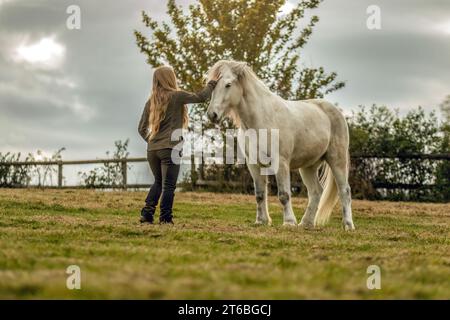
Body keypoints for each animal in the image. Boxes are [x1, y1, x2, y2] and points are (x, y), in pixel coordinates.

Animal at [207, 60, 356, 230]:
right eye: (213, 85)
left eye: (228, 84)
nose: (212, 115)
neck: (261, 119)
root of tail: (335, 111)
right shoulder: (254, 165)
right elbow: (259, 194)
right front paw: (261, 221)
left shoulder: (281, 162)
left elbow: (284, 194)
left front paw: (289, 222)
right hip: (308, 166)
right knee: (316, 191)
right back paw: (305, 223)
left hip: (337, 160)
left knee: (344, 191)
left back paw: (348, 225)